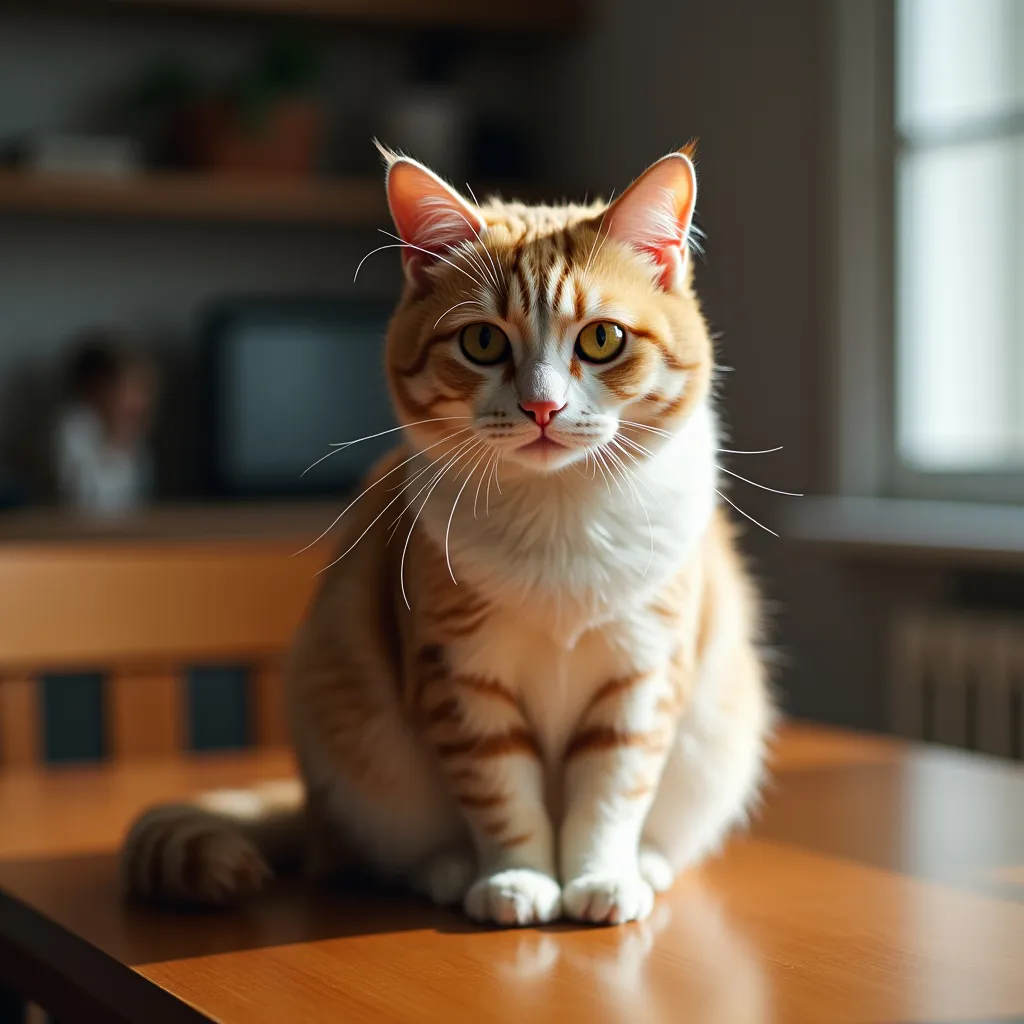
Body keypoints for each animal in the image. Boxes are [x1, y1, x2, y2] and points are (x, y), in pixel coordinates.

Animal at [119, 146, 770, 929]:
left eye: (602, 338)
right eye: (483, 340)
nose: (543, 406)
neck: (558, 516)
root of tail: (310, 813)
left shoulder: (643, 670)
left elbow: (612, 788)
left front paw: (601, 877)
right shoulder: (458, 673)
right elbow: (501, 791)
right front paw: (518, 880)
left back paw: (647, 864)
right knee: (367, 851)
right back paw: (446, 869)